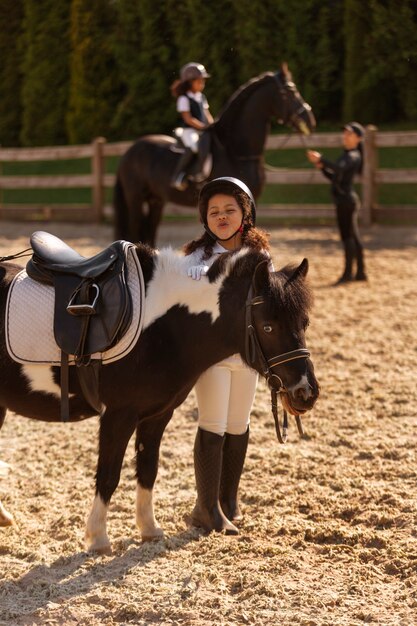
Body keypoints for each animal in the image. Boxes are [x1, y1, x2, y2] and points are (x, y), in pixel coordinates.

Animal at [0, 239, 318, 552]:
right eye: (268, 326)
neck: (164, 328)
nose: (306, 392)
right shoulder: (118, 415)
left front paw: (149, 529)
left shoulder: (157, 415)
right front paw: (98, 538)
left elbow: (148, 469)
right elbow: (109, 474)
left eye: (305, 323)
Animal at [114, 66, 316, 245]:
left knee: (150, 230)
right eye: (290, 92)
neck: (236, 152)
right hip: (136, 199)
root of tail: (130, 151)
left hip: (156, 200)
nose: (310, 121)